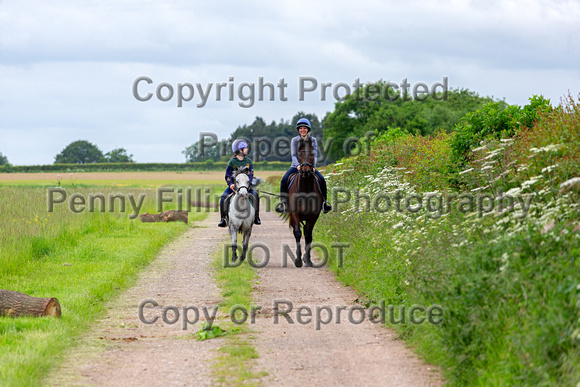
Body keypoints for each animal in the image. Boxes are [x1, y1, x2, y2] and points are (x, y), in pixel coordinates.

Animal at [286, 136, 324, 266]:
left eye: (312, 153)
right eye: (300, 153)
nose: (306, 171)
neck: (306, 189)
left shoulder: (313, 215)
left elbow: (308, 235)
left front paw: (307, 260)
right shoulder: (294, 213)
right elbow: (298, 233)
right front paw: (298, 260)